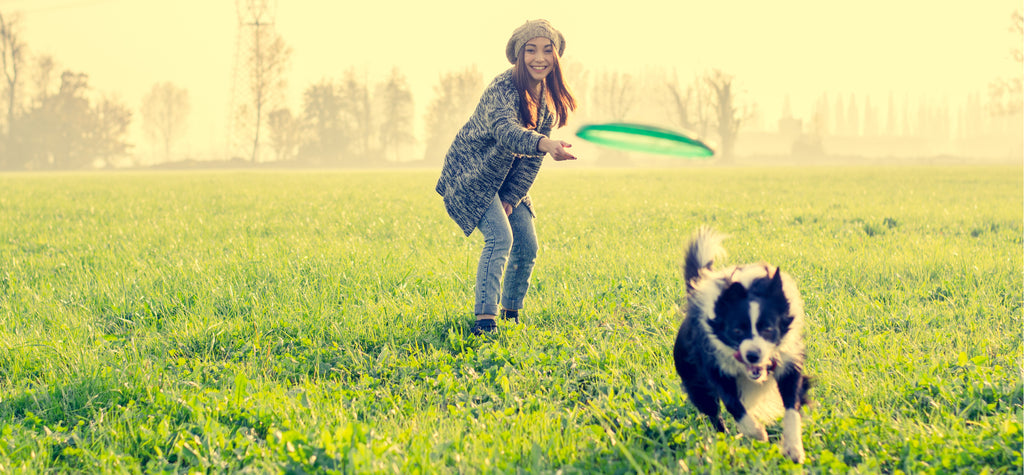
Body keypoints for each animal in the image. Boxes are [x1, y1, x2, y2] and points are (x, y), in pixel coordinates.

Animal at [675, 227, 811, 464]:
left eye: (768, 329)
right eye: (737, 331)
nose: (753, 356)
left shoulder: (788, 362)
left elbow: (792, 405)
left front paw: (793, 448)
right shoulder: (715, 367)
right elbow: (733, 404)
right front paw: (756, 432)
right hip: (695, 383)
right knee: (714, 414)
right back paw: (725, 442)